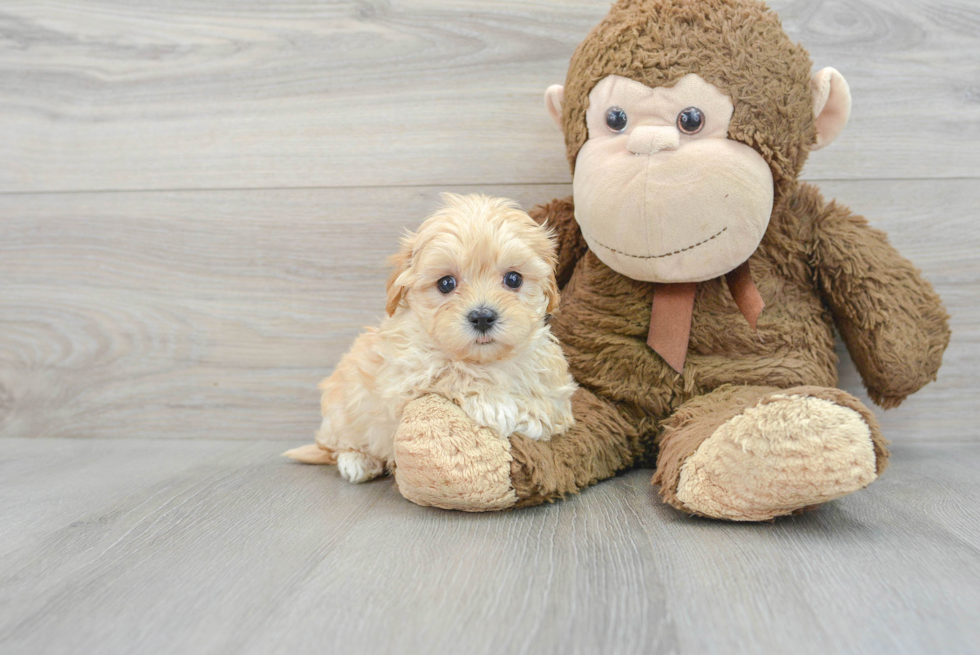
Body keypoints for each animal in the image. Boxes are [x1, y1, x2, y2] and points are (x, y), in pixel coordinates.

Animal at [282, 192, 576, 484]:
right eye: (446, 283)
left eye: (514, 279)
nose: (482, 317)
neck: (487, 361)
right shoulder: (404, 375)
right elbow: (450, 371)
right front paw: (496, 404)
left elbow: (554, 404)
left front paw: (535, 414)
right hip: (342, 411)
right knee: (338, 445)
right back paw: (357, 461)